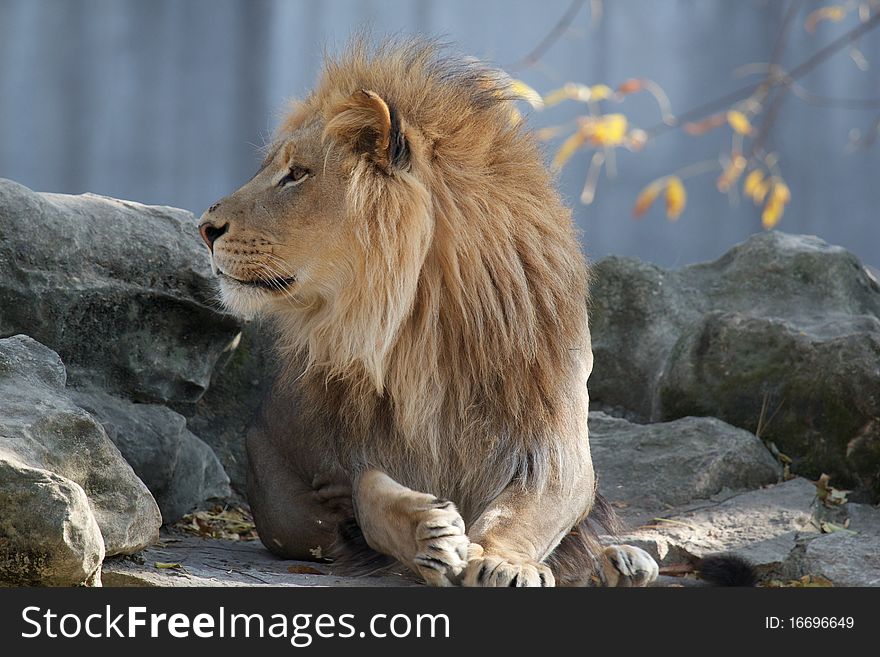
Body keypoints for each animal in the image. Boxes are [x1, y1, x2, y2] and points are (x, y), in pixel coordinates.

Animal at [196, 38, 656, 588]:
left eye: (297, 174)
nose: (204, 228)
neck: (421, 330)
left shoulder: (556, 445)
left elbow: (525, 510)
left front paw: (502, 560)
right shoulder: (286, 473)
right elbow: (364, 491)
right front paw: (427, 536)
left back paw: (624, 563)